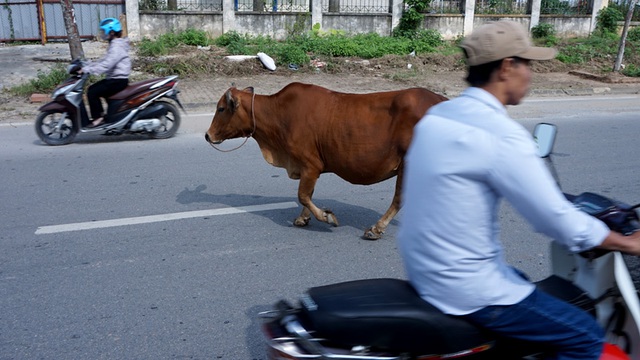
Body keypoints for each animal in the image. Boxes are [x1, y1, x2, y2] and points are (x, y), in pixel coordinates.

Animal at [204, 81, 444, 239]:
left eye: (221, 108)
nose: (207, 135)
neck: (278, 116)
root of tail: (441, 99)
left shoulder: (311, 165)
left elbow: (302, 195)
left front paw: (326, 217)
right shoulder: (306, 169)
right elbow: (307, 195)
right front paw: (303, 219)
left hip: (408, 164)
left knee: (399, 199)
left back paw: (376, 229)